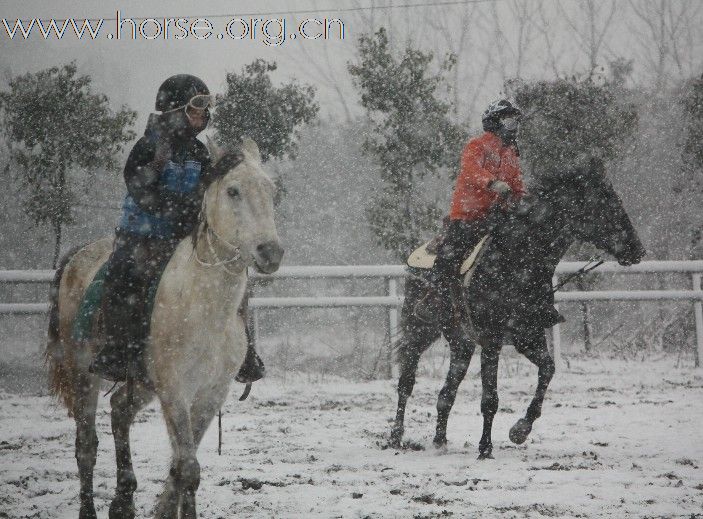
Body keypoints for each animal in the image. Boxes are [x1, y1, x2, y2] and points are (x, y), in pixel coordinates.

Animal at [388, 158, 648, 460]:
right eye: (605, 204)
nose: (637, 249)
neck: (517, 259)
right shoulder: (492, 340)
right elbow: (490, 398)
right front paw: (485, 448)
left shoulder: (528, 336)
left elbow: (548, 370)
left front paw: (521, 429)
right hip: (421, 329)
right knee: (407, 381)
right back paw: (396, 435)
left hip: (461, 342)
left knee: (446, 393)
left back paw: (440, 440)